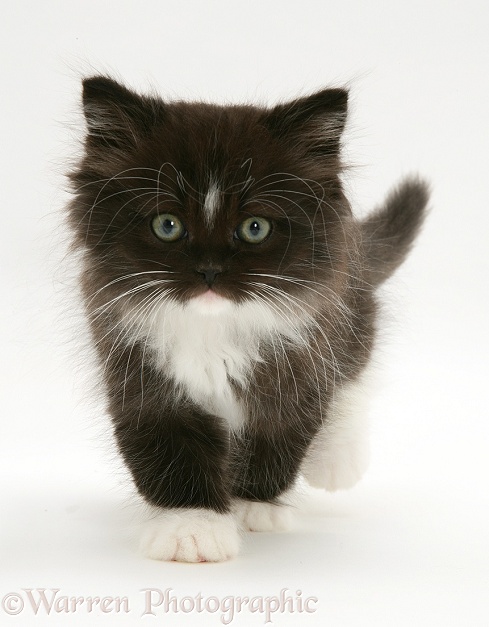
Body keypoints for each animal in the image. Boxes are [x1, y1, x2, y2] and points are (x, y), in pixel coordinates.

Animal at [67, 77, 428, 564]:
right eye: (167, 225)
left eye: (255, 228)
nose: (209, 271)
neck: (212, 330)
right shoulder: (134, 364)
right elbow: (170, 448)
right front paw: (192, 528)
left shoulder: (303, 355)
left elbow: (278, 437)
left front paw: (251, 506)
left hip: (348, 304)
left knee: (354, 366)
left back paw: (337, 459)